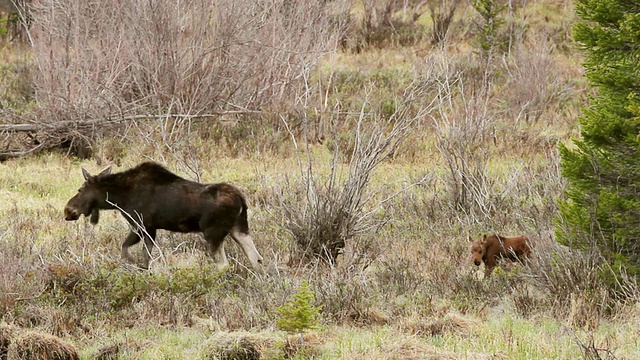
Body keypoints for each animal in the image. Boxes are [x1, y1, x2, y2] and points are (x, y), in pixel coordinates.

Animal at [63, 162, 264, 270]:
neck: (118, 198)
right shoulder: (150, 229)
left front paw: (136, 264)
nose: (67, 210)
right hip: (239, 228)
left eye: (80, 189)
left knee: (223, 264)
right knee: (256, 258)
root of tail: (241, 199)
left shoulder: (142, 226)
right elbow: (143, 256)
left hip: (213, 232)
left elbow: (127, 251)